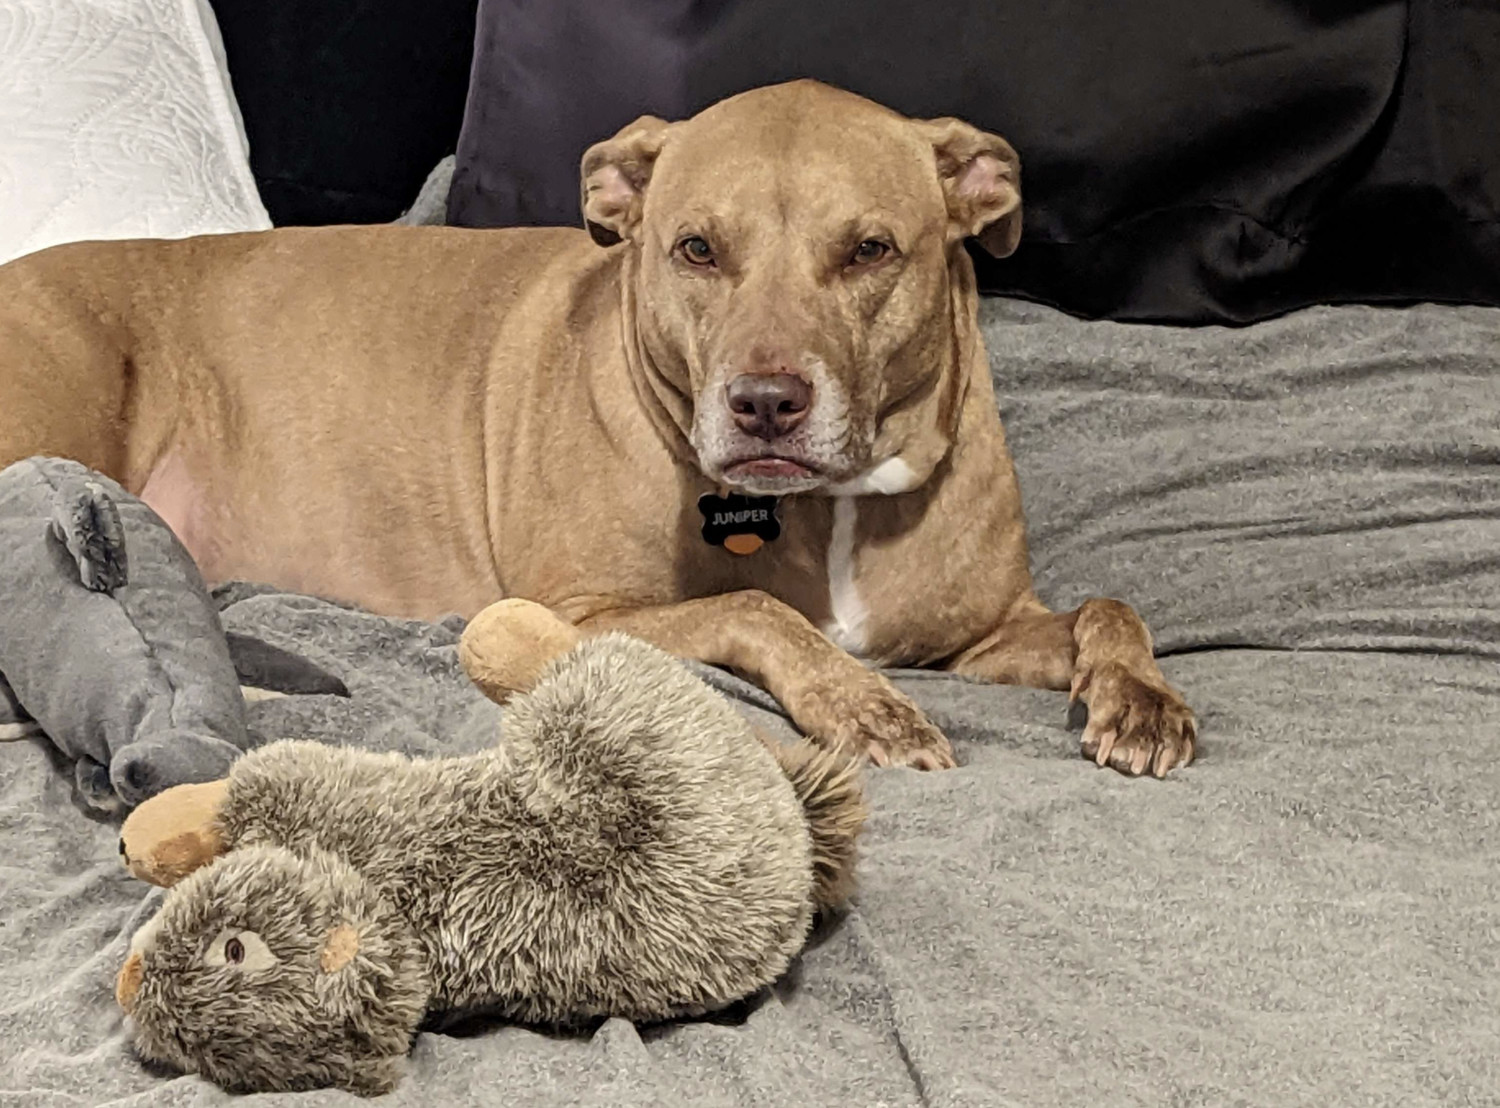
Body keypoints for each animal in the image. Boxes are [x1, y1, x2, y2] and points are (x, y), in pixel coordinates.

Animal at [0, 80, 1194, 779]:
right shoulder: (580, 609)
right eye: (696, 248)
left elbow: (1111, 608)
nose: (766, 403)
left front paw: (1140, 699)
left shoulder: (982, 634)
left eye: (871, 250)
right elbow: (756, 606)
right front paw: (863, 706)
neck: (830, 509)